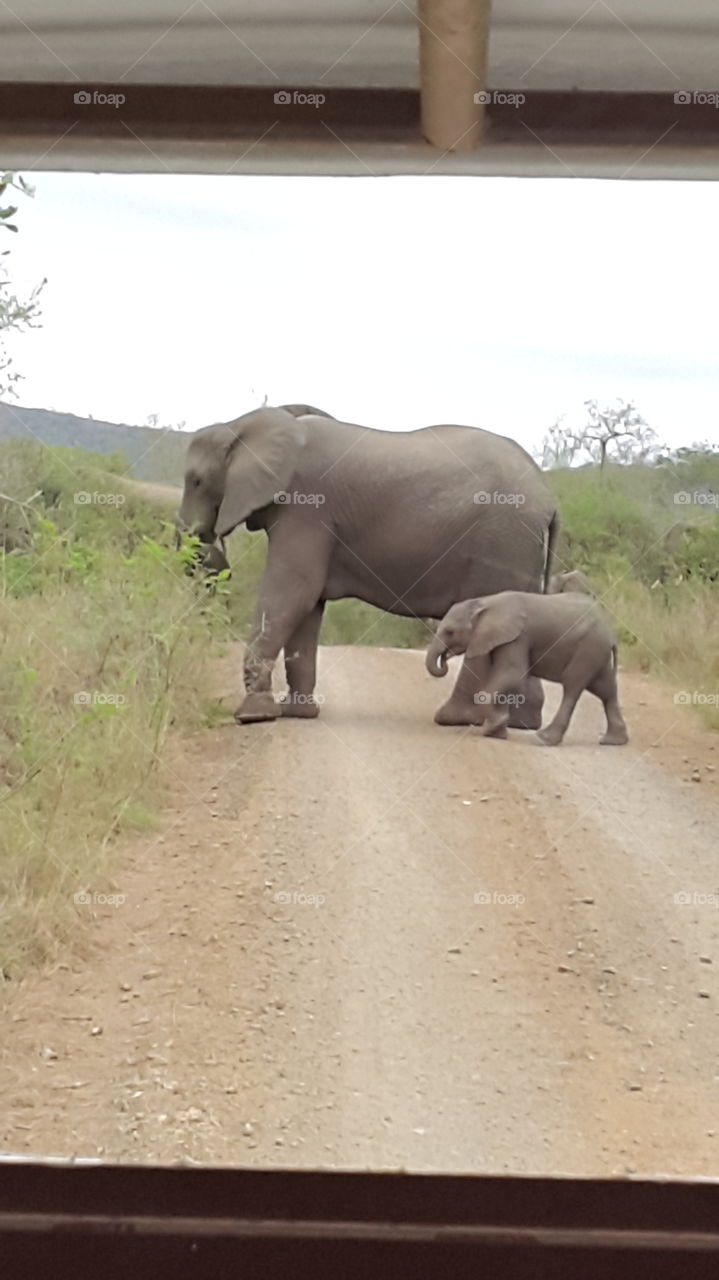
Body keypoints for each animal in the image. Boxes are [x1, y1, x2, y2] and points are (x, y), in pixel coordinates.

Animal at [177, 404, 560, 724]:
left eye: (196, 481)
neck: (243, 425)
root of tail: (549, 499)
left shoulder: (307, 509)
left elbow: (293, 591)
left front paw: (253, 716)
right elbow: (308, 605)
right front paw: (299, 714)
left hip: (502, 541)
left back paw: (455, 719)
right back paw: (521, 724)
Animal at [426, 590, 629, 747]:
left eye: (450, 632)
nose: (445, 658)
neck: (485, 602)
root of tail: (611, 633)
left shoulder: (517, 638)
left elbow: (513, 674)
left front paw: (494, 727)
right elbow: (503, 677)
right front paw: (497, 732)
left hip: (588, 648)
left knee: (573, 687)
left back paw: (544, 739)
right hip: (597, 652)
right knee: (605, 690)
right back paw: (613, 741)